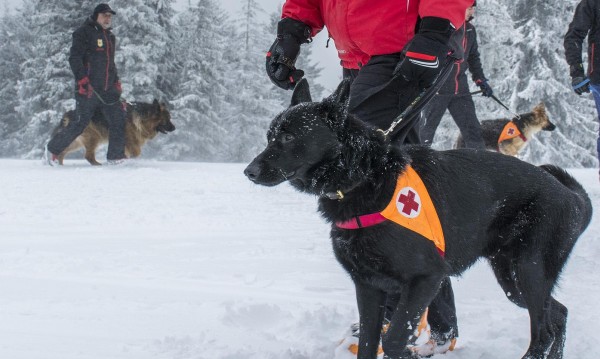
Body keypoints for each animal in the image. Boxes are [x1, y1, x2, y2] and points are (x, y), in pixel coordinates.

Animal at [243, 79, 592, 359]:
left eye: (288, 138)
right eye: (270, 136)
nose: (249, 171)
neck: (366, 177)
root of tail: (571, 195)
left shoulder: (425, 280)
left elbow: (394, 339)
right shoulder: (369, 287)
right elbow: (369, 342)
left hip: (527, 271)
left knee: (544, 332)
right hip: (514, 281)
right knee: (559, 314)